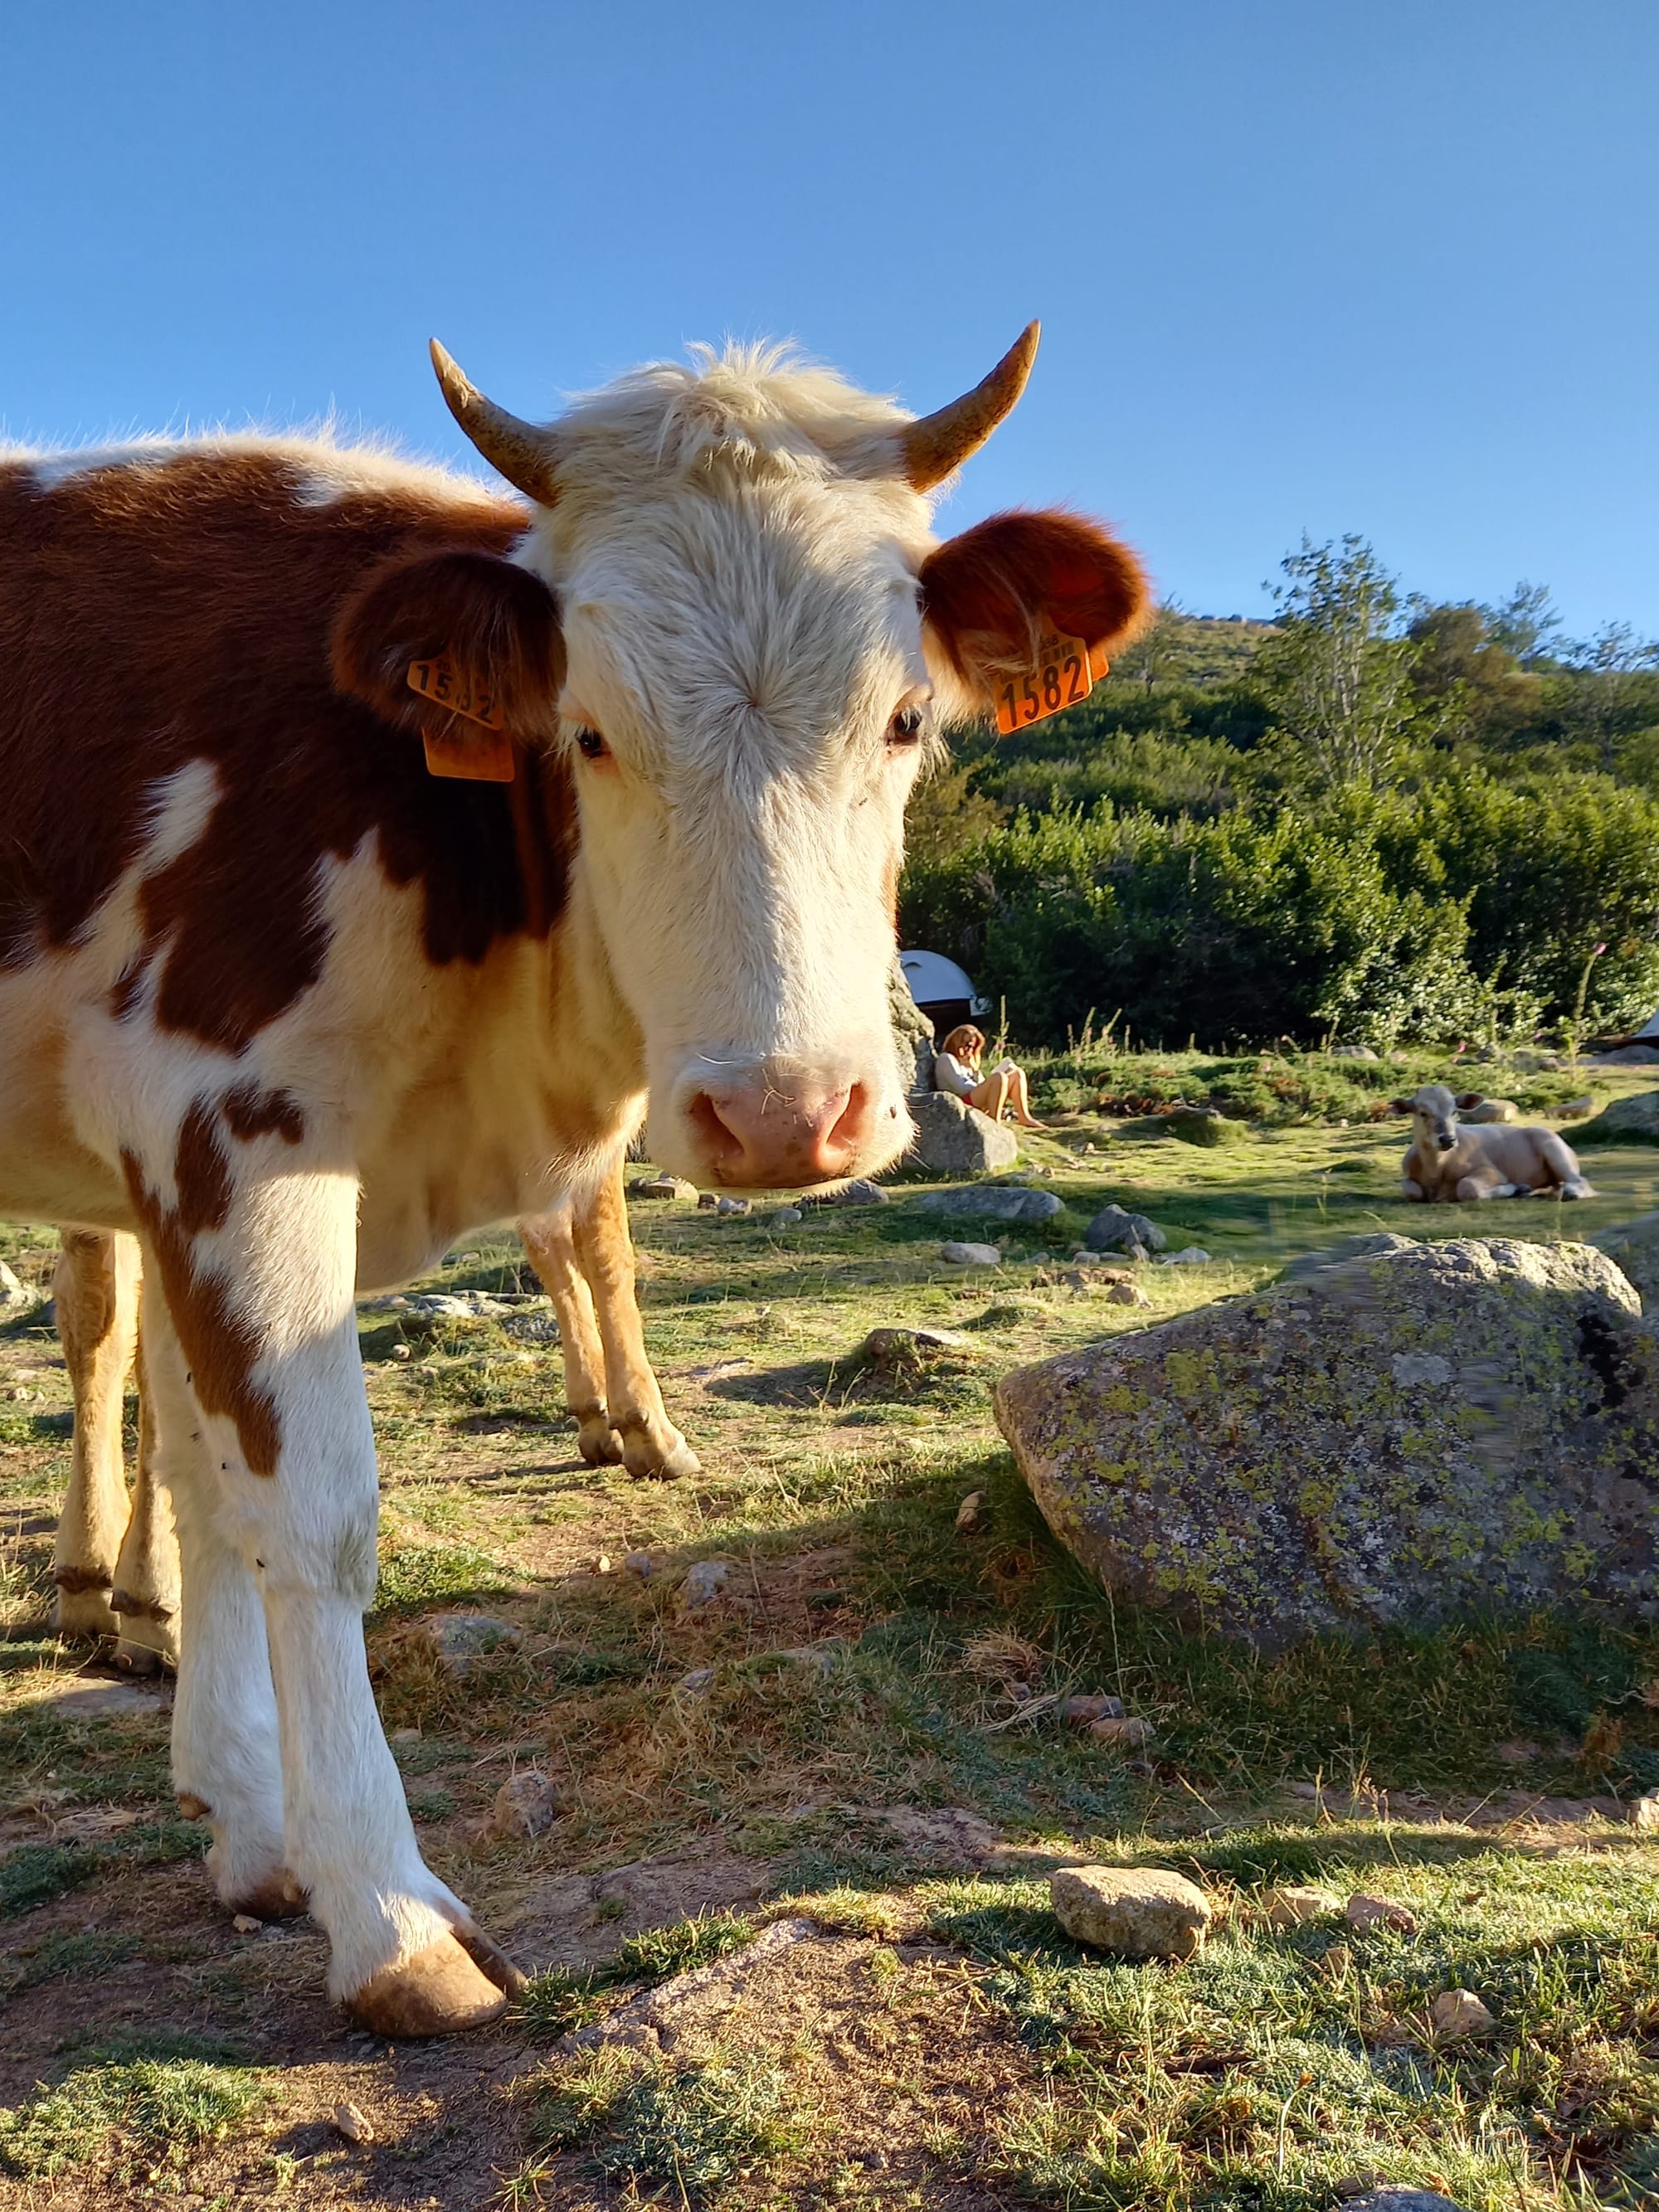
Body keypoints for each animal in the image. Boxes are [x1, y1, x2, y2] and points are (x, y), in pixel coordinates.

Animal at [0, 320, 1141, 2025]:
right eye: (589, 730)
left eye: (905, 720)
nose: (787, 1112)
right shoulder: (229, 1125)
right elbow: (311, 1516)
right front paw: (386, 1914)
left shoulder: (178, 1168)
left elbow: (211, 1486)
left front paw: (253, 1828)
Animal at [1398, 1083, 1601, 1203]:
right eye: (1423, 1113)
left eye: (1454, 1111)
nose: (1448, 1139)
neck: (1437, 1171)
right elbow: (1410, 1189)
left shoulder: (1492, 1171)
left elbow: (1467, 1187)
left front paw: (1514, 1188)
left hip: (1554, 1150)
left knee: (1580, 1180)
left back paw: (1570, 1192)